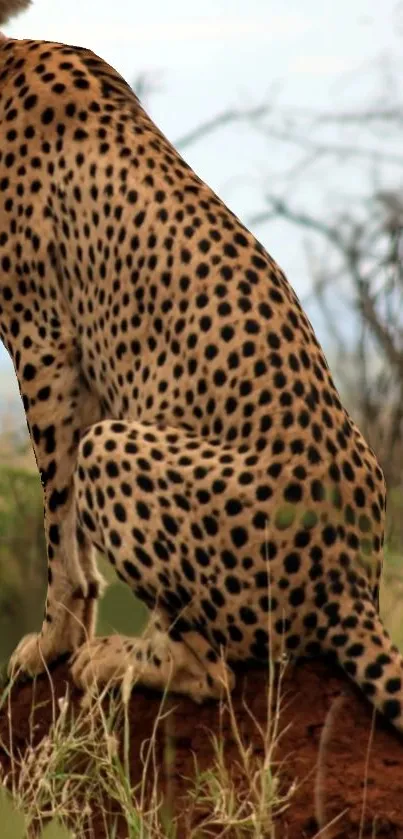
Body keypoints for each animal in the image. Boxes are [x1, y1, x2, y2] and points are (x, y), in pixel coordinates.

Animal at [0, 1, 403, 728]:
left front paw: (53, 640)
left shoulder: (43, 336)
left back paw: (114, 657)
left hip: (122, 451)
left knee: (215, 670)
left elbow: (56, 513)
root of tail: (355, 581)